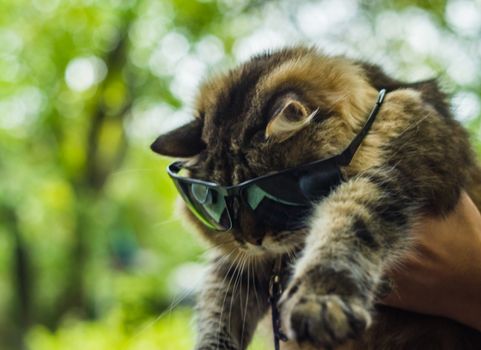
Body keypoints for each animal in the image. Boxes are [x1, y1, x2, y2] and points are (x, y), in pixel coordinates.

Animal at [150, 47, 480, 350]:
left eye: (271, 191)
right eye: (215, 201)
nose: (251, 240)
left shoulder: (389, 175)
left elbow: (345, 230)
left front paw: (321, 299)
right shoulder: (238, 268)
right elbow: (217, 313)